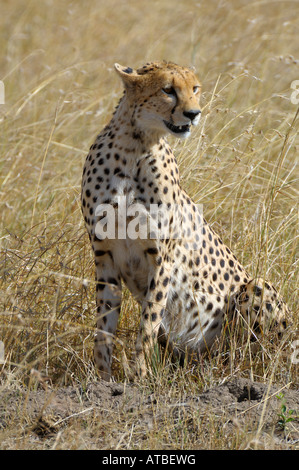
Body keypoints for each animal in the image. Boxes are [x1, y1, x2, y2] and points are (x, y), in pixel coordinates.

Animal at [81, 60, 290, 380]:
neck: (134, 147)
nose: (194, 113)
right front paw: (102, 380)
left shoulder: (161, 258)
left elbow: (148, 322)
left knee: (256, 354)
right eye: (167, 90)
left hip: (256, 289)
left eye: (195, 88)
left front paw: (139, 377)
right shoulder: (105, 256)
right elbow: (104, 326)